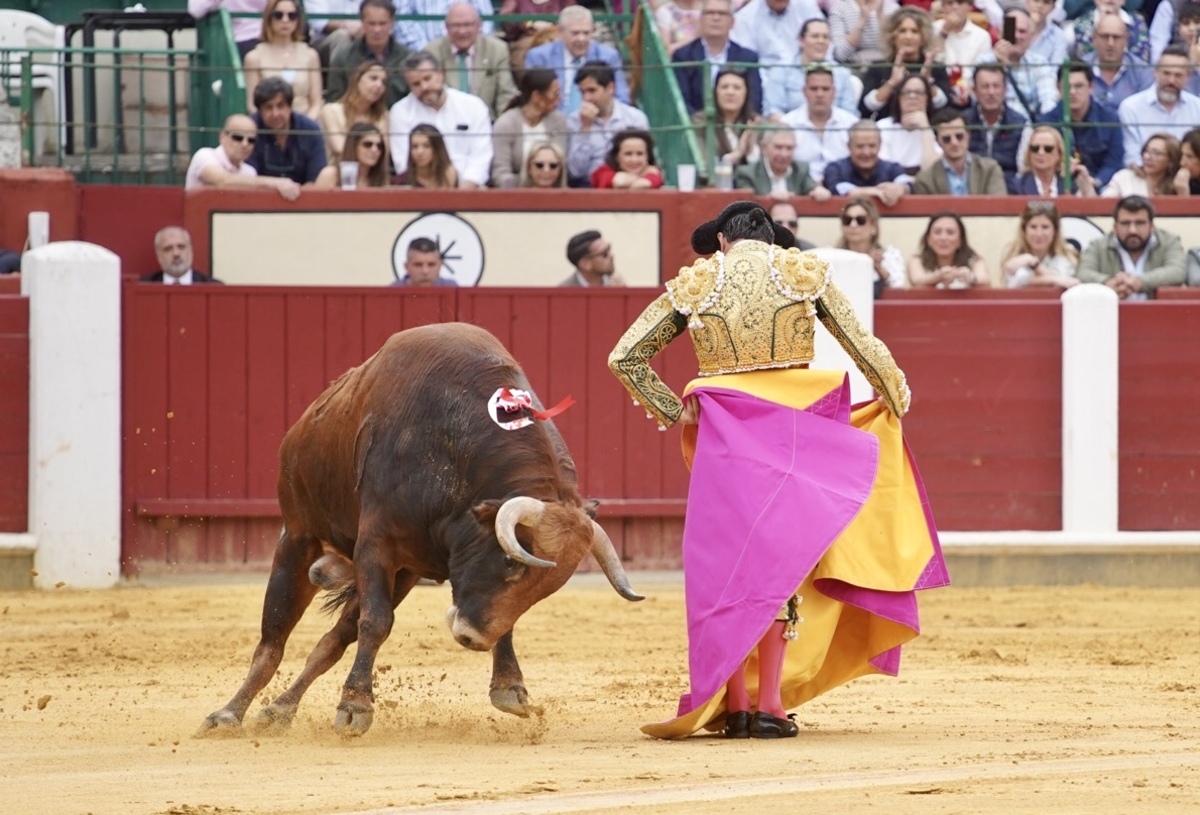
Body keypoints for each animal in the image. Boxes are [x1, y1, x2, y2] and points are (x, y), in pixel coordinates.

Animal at [199, 324, 648, 739]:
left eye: (547, 587)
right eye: (509, 562)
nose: (471, 639)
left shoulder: (408, 567)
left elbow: (495, 620)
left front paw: (508, 688)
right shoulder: (375, 546)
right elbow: (375, 622)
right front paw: (354, 707)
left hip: (402, 573)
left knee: (334, 638)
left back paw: (280, 710)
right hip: (298, 536)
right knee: (273, 639)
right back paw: (227, 715)